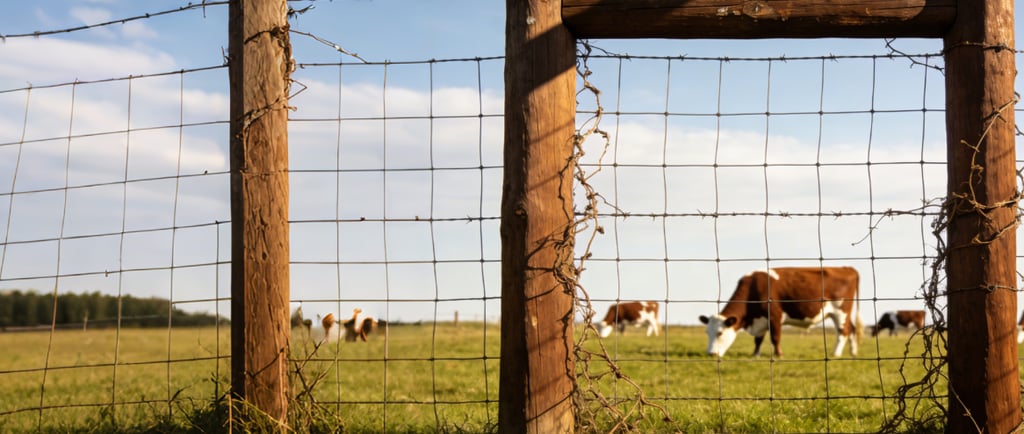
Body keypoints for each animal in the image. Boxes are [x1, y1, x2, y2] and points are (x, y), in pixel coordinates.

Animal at [699, 267, 863, 358]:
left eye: (720, 333)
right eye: (707, 332)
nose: (710, 354)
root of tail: (847, 267)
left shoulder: (774, 316)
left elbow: (775, 338)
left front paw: (779, 355)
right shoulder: (761, 319)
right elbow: (758, 340)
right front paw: (755, 355)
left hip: (841, 311)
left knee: (843, 331)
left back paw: (836, 354)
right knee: (852, 329)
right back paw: (853, 353)